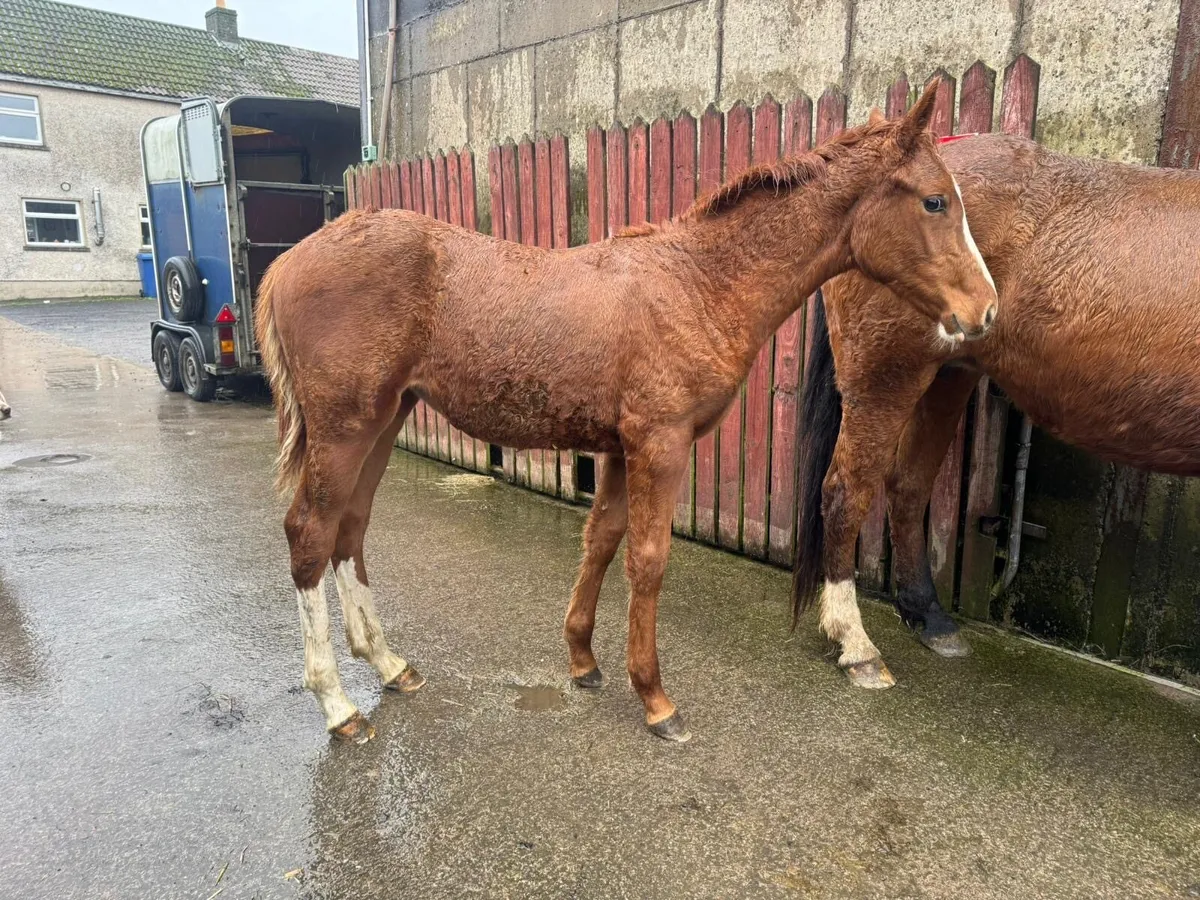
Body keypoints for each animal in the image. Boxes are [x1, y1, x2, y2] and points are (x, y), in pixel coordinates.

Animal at [255, 82, 998, 744]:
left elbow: (602, 541)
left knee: (350, 530)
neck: (699, 284)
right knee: (310, 533)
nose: (986, 311)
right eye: (935, 201)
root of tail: (289, 261)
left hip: (384, 421)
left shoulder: (616, 447)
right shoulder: (660, 444)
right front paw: (656, 699)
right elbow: (648, 558)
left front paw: (584, 662)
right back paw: (338, 704)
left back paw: (388, 663)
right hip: (345, 428)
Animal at [794, 131, 1200, 690]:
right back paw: (856, 645)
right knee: (844, 491)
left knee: (908, 486)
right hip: (886, 375)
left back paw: (930, 617)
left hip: (949, 374)